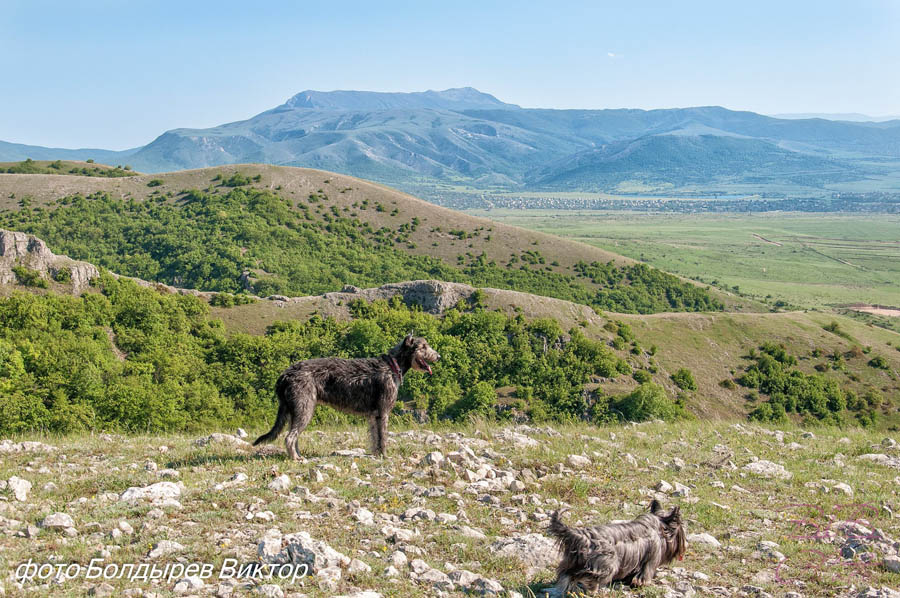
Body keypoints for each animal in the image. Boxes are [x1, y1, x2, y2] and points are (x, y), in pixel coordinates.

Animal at [253, 338, 440, 460]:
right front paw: (385, 456)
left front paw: (375, 454)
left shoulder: (374, 415)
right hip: (305, 408)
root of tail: (284, 375)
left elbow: (375, 437)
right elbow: (383, 437)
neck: (392, 365)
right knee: (289, 437)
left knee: (293, 436)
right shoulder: (383, 412)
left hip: (296, 410)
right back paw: (296, 458)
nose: (438, 356)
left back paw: (298, 455)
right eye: (423, 346)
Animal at [544, 502, 684, 596]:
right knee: (587, 576)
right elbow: (644, 574)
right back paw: (592, 590)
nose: (682, 549)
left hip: (572, 561)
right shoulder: (651, 559)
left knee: (567, 574)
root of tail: (583, 536)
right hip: (607, 564)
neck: (658, 527)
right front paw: (641, 584)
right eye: (681, 532)